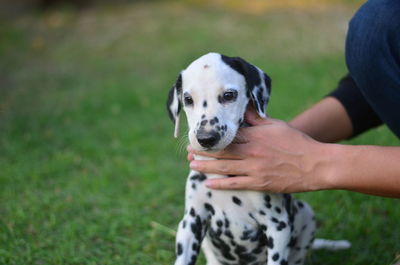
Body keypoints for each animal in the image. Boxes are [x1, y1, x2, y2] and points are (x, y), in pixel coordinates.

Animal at [167, 52, 348, 264]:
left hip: (306, 214)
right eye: (187, 99)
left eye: (229, 95)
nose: (206, 138)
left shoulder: (277, 226)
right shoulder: (191, 221)